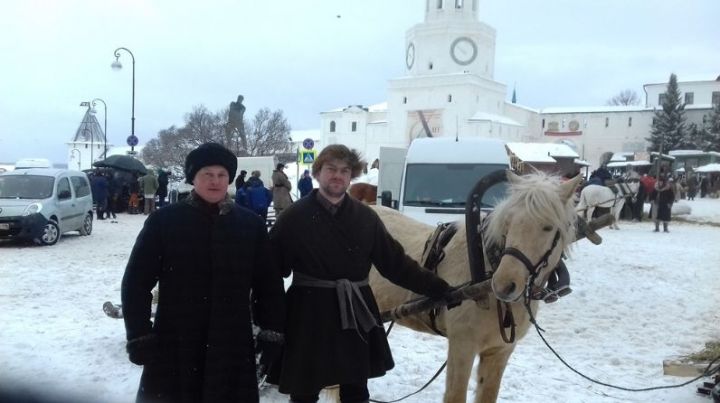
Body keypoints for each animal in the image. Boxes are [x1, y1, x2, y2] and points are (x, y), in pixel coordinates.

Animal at [368, 173, 584, 403]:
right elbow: (455, 395)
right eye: (508, 223)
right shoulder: (462, 346)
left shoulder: (500, 351)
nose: (504, 284)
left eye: (548, 227)